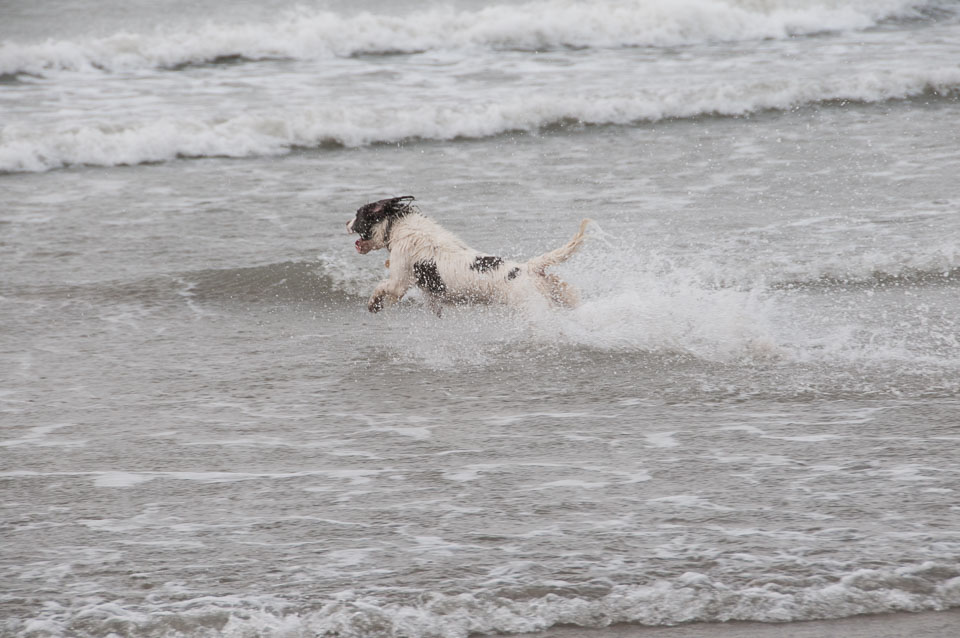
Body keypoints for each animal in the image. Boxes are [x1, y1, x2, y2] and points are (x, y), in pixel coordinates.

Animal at [342, 195, 588, 316]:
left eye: (358, 214)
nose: (345, 223)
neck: (398, 225)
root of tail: (526, 268)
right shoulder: (431, 297)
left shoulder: (398, 281)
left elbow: (383, 287)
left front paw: (374, 305)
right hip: (559, 295)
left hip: (531, 305)